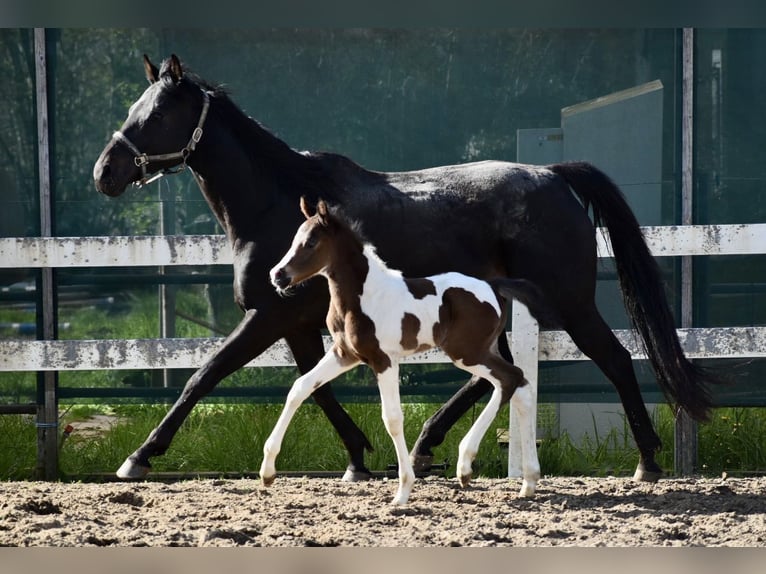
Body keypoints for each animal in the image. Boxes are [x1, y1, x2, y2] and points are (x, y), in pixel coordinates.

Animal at [260, 200, 544, 506]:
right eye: (295, 238)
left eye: (311, 242)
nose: (277, 275)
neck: (363, 298)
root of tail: (493, 286)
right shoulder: (343, 354)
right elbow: (300, 388)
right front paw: (267, 473)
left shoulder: (384, 360)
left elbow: (393, 418)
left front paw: (403, 490)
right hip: (479, 351)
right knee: (519, 385)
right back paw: (527, 481)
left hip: (467, 352)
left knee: (510, 378)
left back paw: (467, 465)